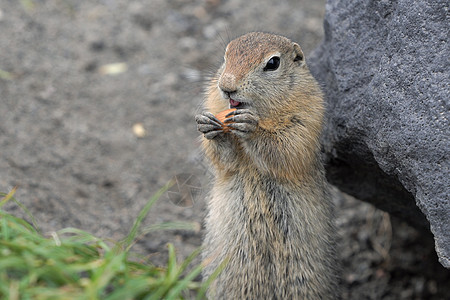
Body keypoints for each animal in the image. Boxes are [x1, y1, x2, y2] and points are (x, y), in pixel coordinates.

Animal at [195, 31, 340, 298]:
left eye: (272, 63)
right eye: (226, 55)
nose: (226, 86)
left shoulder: (307, 118)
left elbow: (285, 147)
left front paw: (251, 128)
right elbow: (225, 162)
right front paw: (210, 126)